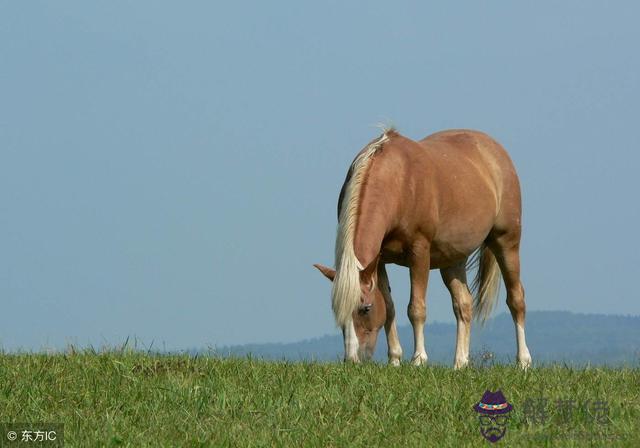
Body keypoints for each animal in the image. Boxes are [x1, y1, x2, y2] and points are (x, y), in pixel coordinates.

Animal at [314, 126, 528, 368]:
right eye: (336, 311)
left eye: (365, 308)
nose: (352, 360)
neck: (399, 182)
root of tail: (494, 150)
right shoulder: (380, 260)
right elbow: (389, 307)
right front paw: (395, 360)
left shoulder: (419, 252)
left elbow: (416, 308)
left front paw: (418, 359)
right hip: (453, 259)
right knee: (463, 304)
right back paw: (460, 364)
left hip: (507, 242)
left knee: (516, 299)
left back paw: (523, 361)